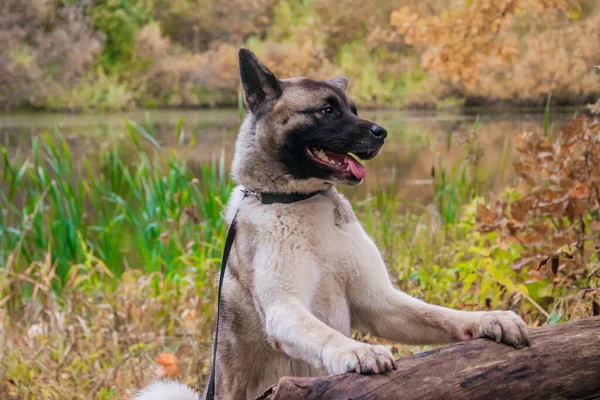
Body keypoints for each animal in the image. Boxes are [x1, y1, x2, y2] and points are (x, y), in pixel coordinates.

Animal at [135, 49, 528, 400]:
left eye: (353, 109)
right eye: (327, 110)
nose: (382, 132)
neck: (301, 202)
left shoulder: (379, 302)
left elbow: (438, 315)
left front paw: (488, 318)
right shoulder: (284, 308)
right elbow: (323, 334)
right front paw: (356, 351)